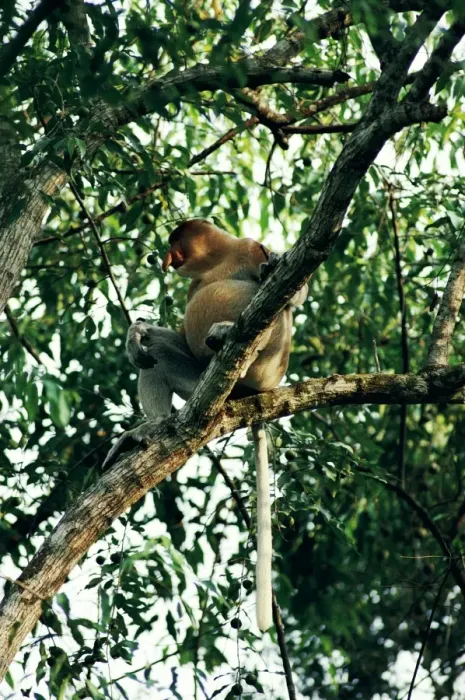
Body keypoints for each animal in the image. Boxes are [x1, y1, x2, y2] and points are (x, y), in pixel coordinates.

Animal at [117, 220, 307, 632]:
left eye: (175, 241)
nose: (166, 256)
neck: (219, 259)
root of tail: (254, 393)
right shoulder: (194, 286)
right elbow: (169, 335)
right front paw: (136, 333)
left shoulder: (251, 247)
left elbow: (294, 292)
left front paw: (276, 264)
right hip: (201, 381)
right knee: (156, 355)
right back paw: (150, 427)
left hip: (269, 364)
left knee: (275, 311)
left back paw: (226, 332)